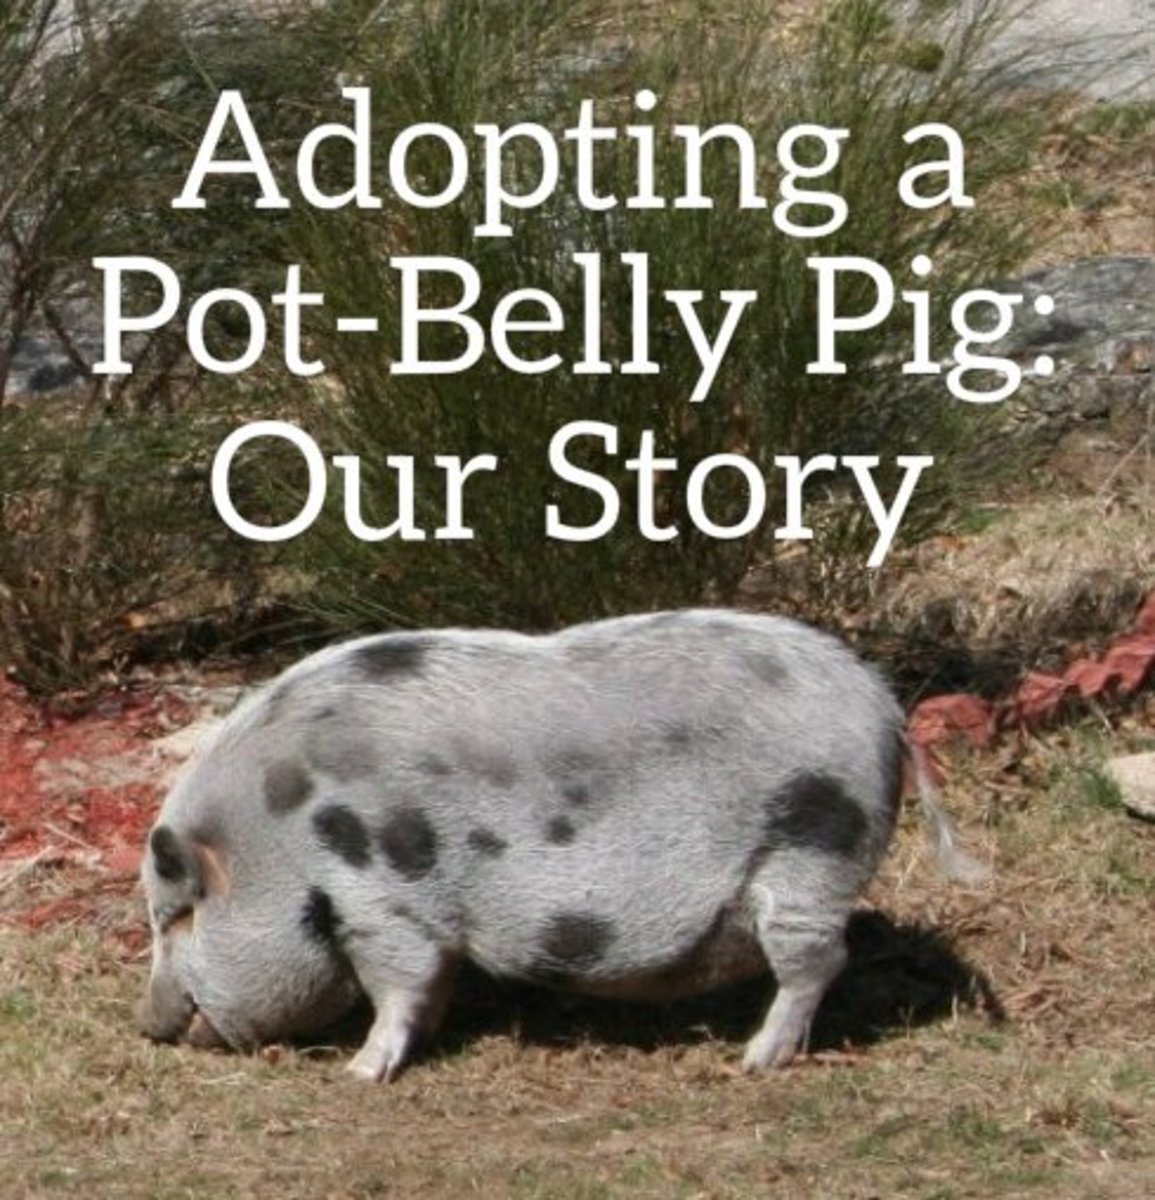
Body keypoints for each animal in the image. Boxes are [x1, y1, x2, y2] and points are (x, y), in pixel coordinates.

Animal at [138, 608, 942, 1080]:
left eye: (180, 916)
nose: (148, 1027)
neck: (279, 833)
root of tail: (885, 710)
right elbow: (431, 985)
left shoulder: (386, 901)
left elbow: (398, 984)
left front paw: (359, 1074)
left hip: (812, 854)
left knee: (816, 963)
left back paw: (753, 1060)